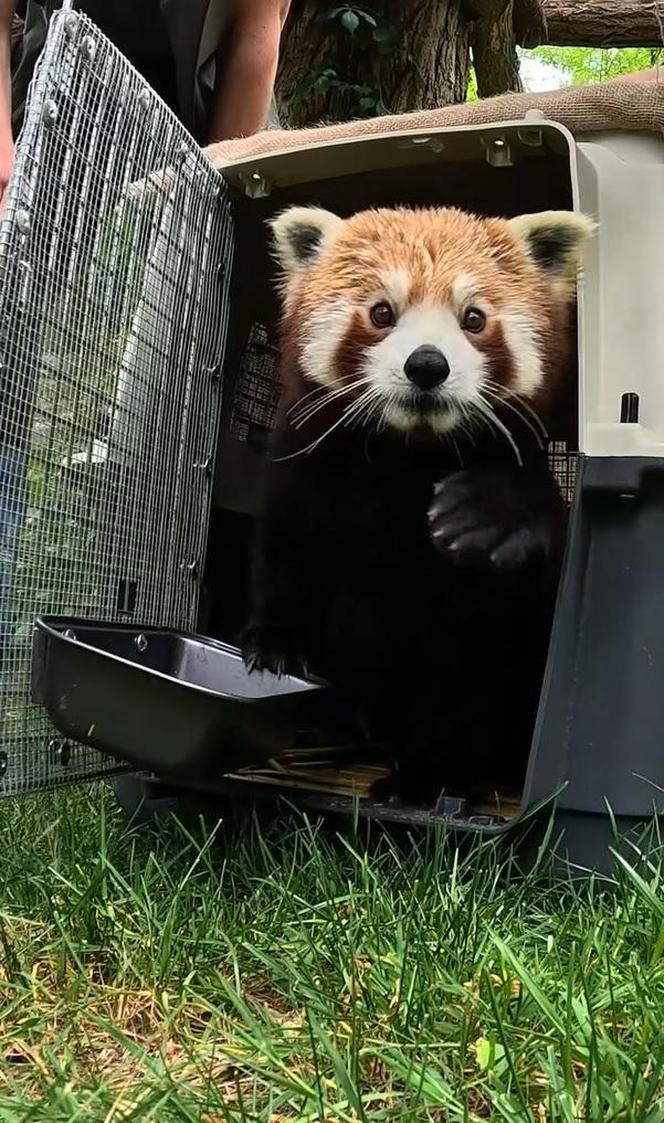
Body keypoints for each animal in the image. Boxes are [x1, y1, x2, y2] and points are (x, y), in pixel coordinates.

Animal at [246, 206, 597, 804]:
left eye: (474, 318)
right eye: (381, 313)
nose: (428, 365)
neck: (406, 456)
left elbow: (476, 658)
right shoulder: (301, 467)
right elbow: (287, 559)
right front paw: (275, 645)